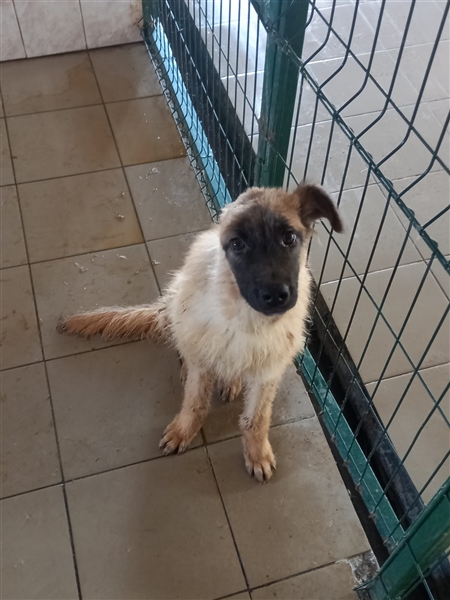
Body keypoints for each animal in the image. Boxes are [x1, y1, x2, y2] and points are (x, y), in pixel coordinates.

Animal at [57, 183, 342, 482]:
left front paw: (257, 452)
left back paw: (231, 381)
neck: (247, 318)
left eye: (289, 238)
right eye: (237, 244)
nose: (276, 296)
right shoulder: (203, 356)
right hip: (179, 309)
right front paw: (185, 429)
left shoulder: (268, 371)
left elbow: (257, 418)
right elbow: (195, 402)